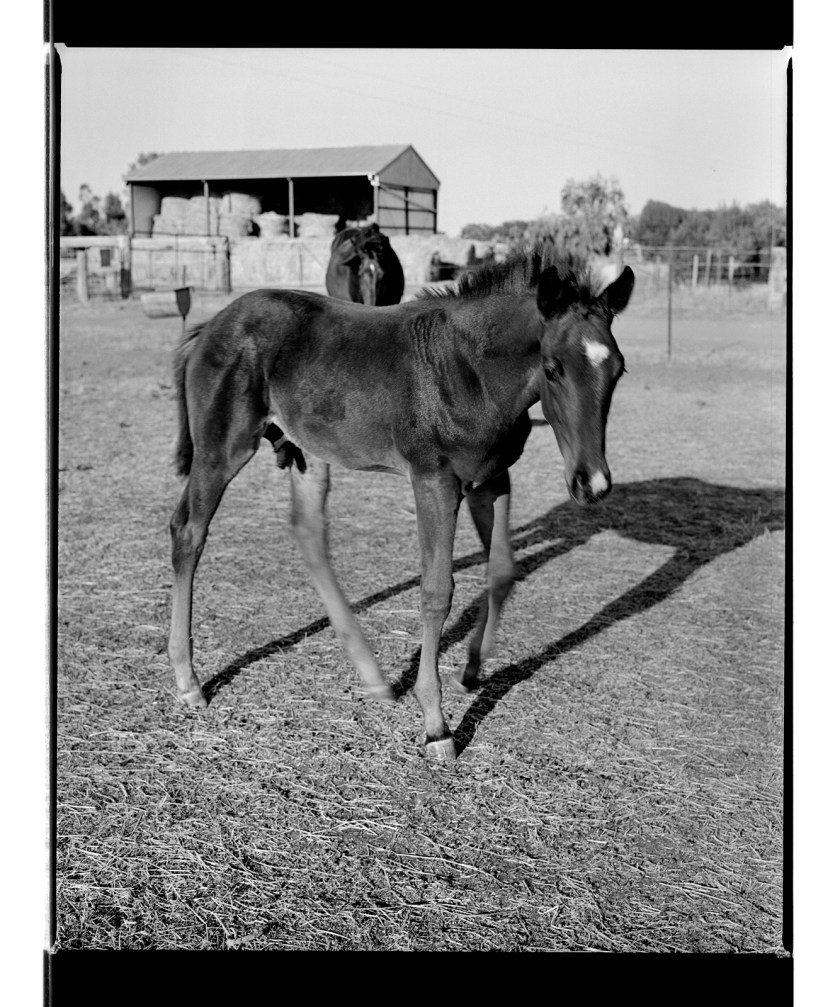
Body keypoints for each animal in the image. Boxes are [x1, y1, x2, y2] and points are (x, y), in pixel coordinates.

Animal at [167, 244, 634, 759]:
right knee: (189, 530)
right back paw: (189, 680)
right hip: (222, 449)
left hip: (308, 451)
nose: (592, 483)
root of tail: (211, 325)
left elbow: (502, 571)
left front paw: (472, 667)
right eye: (552, 368)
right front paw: (436, 725)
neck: (472, 372)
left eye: (618, 370)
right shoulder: (434, 480)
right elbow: (437, 591)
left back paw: (372, 676)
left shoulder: (492, 478)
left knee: (309, 536)